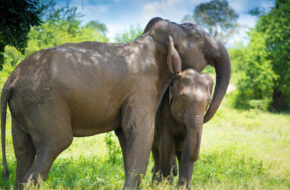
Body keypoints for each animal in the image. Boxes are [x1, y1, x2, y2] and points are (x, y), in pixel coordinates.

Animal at [0, 17, 231, 189]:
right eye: (198, 37)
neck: (150, 41)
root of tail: (11, 80)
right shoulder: (142, 86)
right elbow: (140, 132)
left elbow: (125, 136)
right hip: (43, 105)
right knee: (54, 145)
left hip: (22, 111)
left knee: (23, 152)